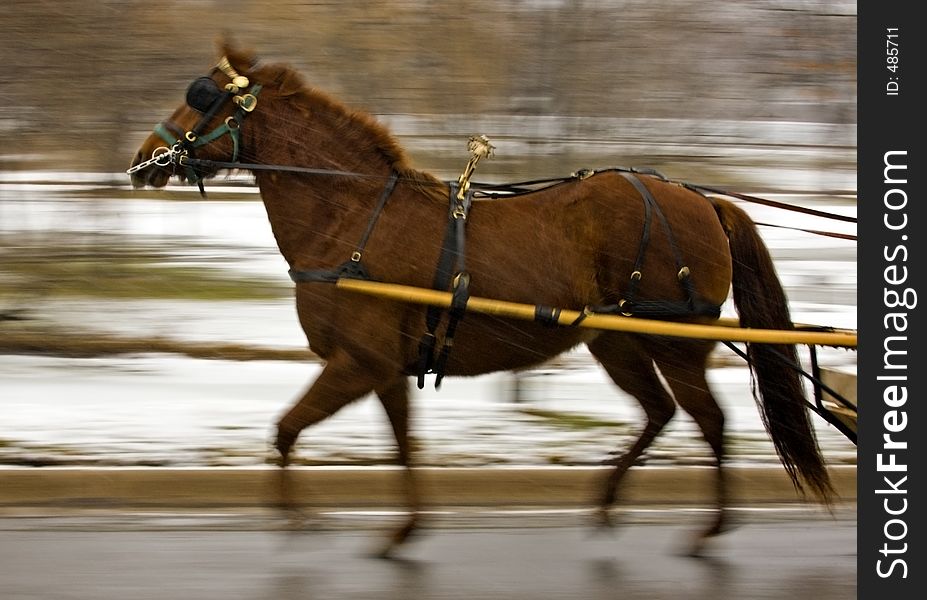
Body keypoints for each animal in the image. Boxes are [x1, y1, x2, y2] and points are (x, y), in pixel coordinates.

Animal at [129, 41, 832, 556]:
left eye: (201, 97)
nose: (143, 158)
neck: (353, 216)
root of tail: (703, 202)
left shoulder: (358, 362)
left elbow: (285, 430)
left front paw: (301, 520)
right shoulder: (384, 368)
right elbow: (401, 445)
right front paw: (405, 530)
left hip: (675, 343)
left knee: (709, 421)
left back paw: (710, 528)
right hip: (614, 339)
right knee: (659, 413)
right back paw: (606, 501)